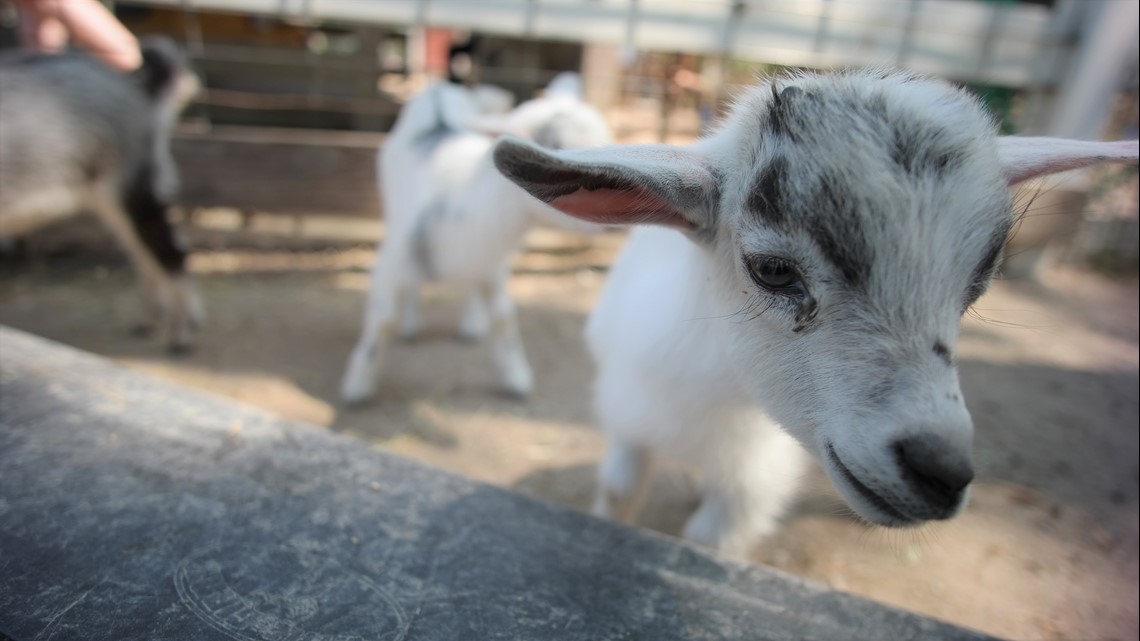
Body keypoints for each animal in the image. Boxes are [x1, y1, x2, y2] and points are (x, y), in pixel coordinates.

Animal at [0, 37, 201, 352]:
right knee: (142, 255)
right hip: (113, 203)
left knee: (170, 254)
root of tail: (140, 89)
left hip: (133, 189)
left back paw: (183, 334)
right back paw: (150, 321)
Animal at [340, 74, 612, 404]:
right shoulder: (391, 264)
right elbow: (383, 323)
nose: (612, 225)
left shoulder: (492, 268)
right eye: (556, 150)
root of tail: (438, 87)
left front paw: (516, 379)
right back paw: (411, 324)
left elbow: (503, 318)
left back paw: (471, 325)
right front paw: (357, 386)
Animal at [493, 69, 1139, 556]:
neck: (716, 399)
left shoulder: (754, 483)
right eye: (773, 269)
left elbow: (708, 540)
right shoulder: (630, 417)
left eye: (976, 285)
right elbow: (619, 492)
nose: (941, 472)